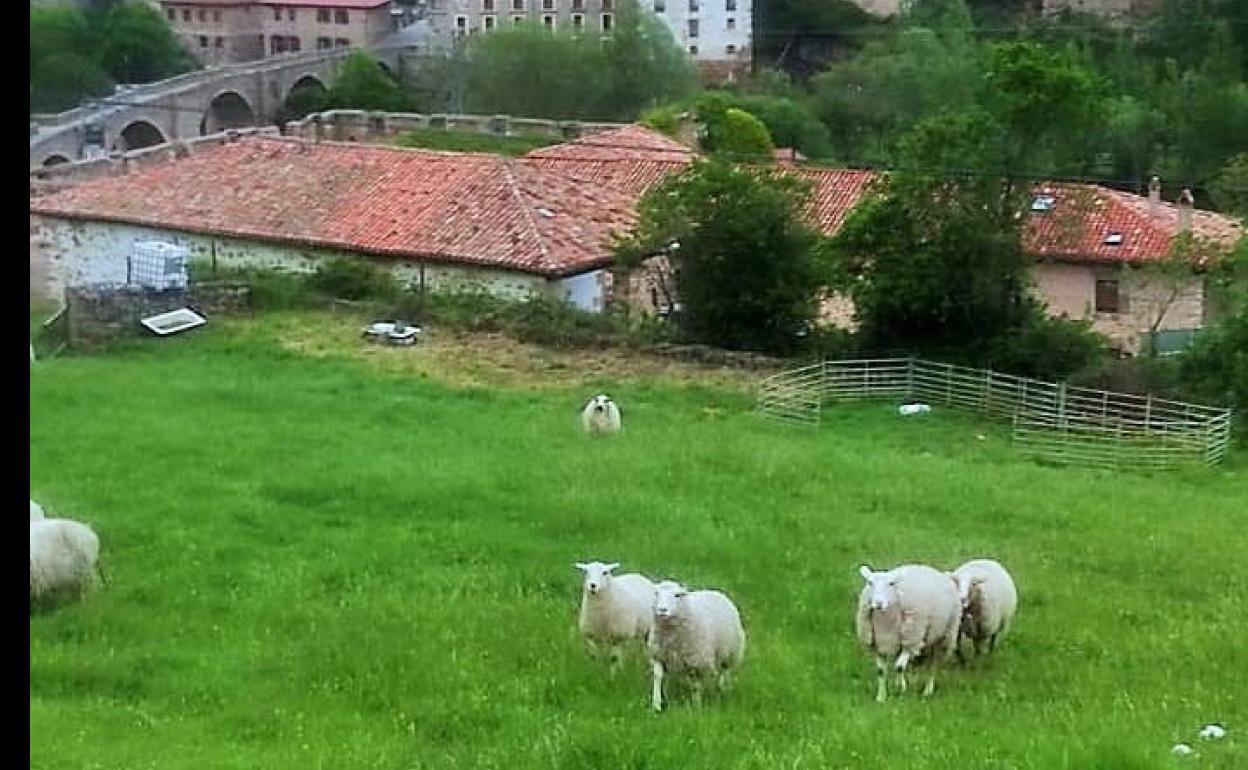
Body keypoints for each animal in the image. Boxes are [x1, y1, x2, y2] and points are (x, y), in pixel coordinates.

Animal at [648, 576, 743, 708]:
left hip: (730, 654)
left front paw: (696, 706)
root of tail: (715, 591)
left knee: (724, 672)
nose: (662, 610)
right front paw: (656, 703)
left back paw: (722, 689)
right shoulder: (658, 655)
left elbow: (696, 685)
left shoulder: (698, 662)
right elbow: (658, 677)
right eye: (656, 593)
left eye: (677, 595)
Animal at [853, 561, 958, 698]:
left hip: (942, 637)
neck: (885, 621)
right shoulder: (878, 644)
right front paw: (881, 696)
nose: (878, 604)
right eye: (870, 582)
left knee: (932, 665)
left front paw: (900, 688)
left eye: (891, 583)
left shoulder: (911, 641)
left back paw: (928, 690)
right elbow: (881, 671)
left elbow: (899, 667)